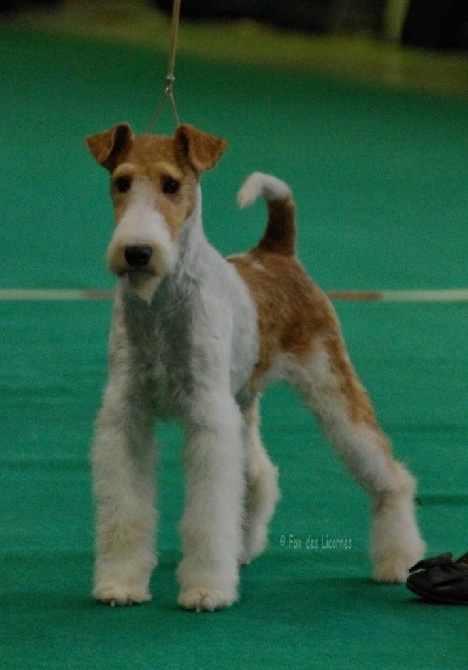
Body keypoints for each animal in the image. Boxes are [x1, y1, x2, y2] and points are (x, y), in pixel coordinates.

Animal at [86, 122, 426, 616]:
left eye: (171, 185)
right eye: (122, 182)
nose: (137, 253)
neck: (163, 303)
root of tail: (276, 253)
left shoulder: (208, 416)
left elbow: (209, 512)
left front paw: (206, 590)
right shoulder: (126, 415)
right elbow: (126, 508)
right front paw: (120, 583)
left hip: (330, 383)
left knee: (389, 474)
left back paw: (398, 561)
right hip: (243, 400)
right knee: (258, 474)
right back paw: (242, 549)